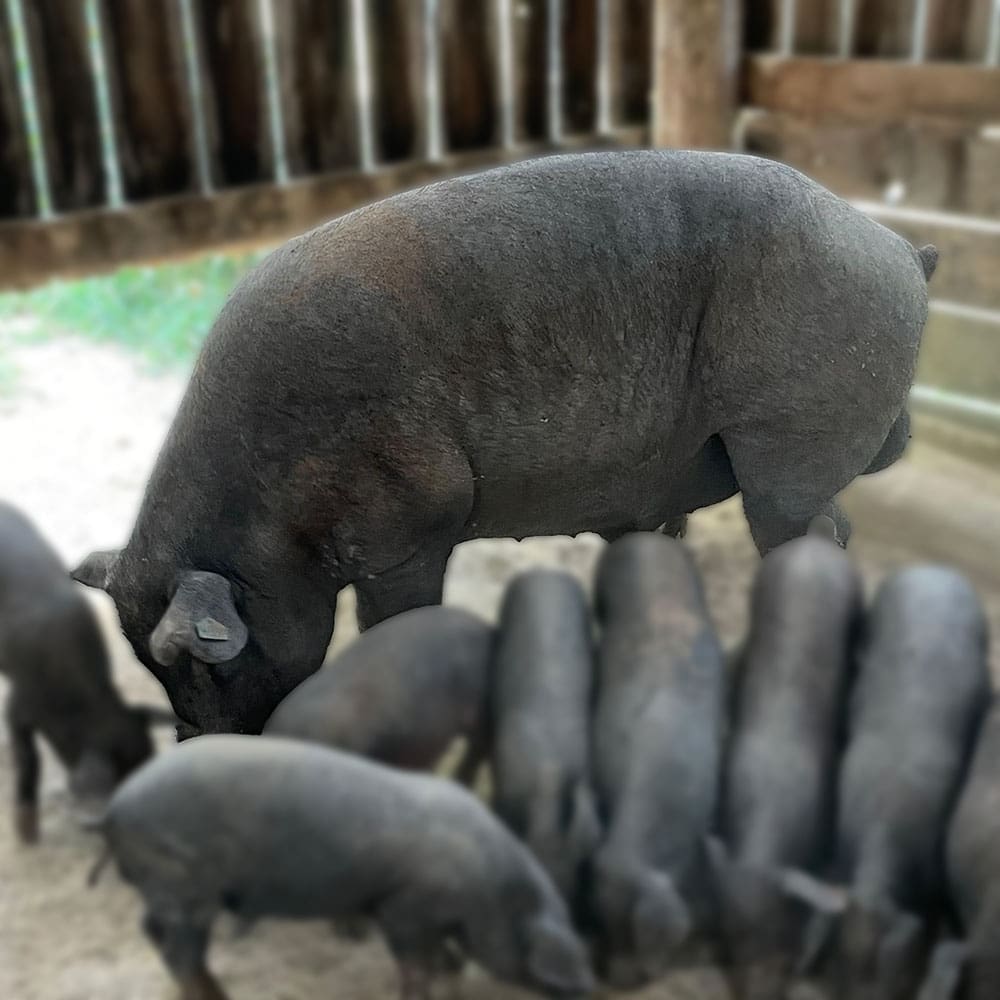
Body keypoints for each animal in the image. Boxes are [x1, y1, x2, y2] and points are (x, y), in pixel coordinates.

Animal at [73, 151, 935, 737]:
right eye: (145, 661)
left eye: (202, 661)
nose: (192, 746)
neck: (267, 515)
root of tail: (900, 250)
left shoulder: (411, 527)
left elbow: (392, 623)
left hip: (790, 441)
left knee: (811, 536)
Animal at [93, 735, 595, 1000]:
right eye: (557, 978)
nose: (589, 985)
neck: (486, 891)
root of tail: (116, 807)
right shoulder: (403, 909)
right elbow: (415, 966)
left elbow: (445, 960)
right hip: (183, 885)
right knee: (182, 954)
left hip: (163, 889)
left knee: (154, 933)